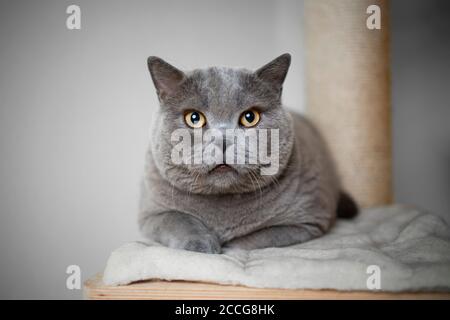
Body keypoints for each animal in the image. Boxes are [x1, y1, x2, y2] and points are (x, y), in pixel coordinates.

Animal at [139, 53, 356, 254]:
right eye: (194, 118)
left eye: (250, 117)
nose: (223, 140)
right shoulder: (150, 214)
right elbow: (177, 220)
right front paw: (201, 244)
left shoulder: (308, 222)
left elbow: (258, 238)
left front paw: (228, 247)